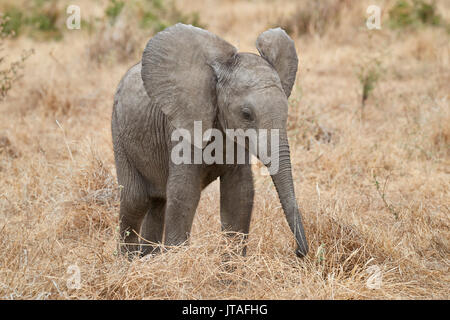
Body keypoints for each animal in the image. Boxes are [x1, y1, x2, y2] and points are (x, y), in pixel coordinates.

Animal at [112, 23, 310, 258]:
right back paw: (128, 262)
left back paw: (148, 258)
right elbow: (184, 193)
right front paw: (178, 261)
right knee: (136, 200)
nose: (298, 251)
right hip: (119, 132)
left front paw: (232, 267)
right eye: (246, 114)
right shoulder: (183, 127)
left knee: (158, 202)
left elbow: (240, 193)